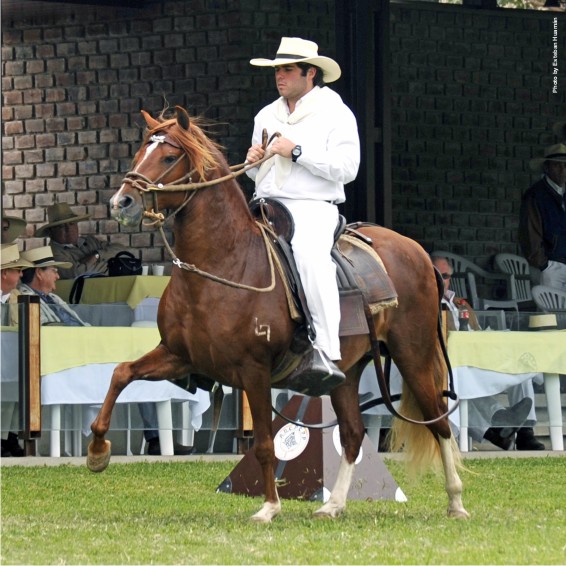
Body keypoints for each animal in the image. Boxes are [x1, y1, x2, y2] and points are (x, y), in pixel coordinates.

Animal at [87, 105, 469, 523]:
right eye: (141, 150)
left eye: (170, 157)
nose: (122, 203)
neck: (226, 262)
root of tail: (417, 251)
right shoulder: (177, 356)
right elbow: (121, 373)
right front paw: (97, 452)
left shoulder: (253, 370)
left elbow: (266, 444)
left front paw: (269, 507)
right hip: (348, 371)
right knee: (353, 434)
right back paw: (333, 505)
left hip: (413, 355)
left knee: (439, 421)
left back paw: (456, 501)